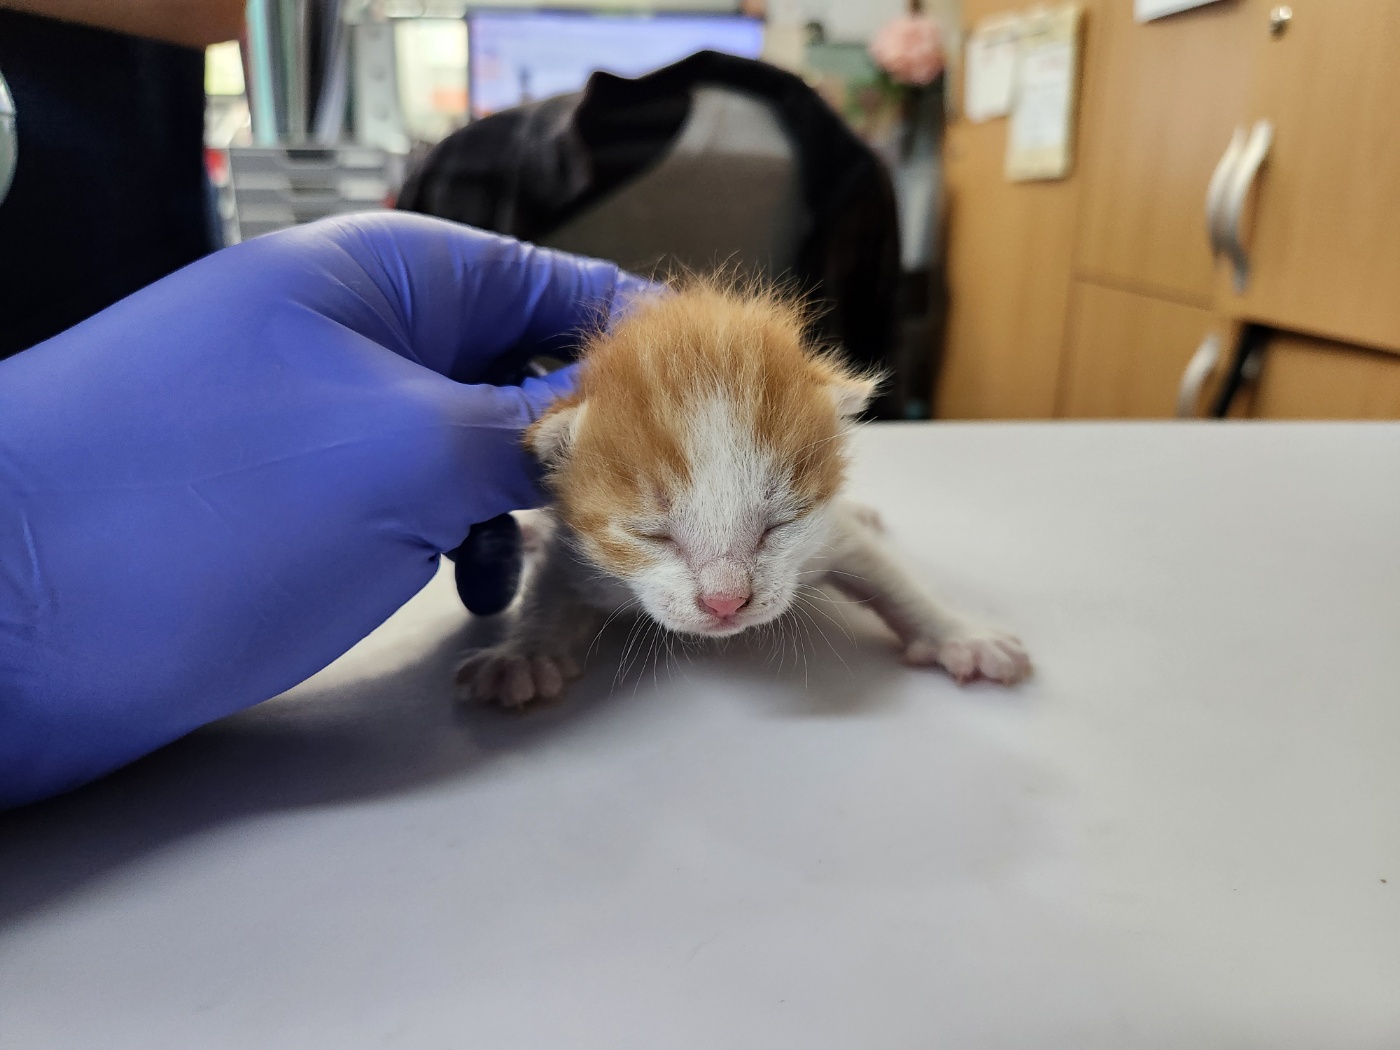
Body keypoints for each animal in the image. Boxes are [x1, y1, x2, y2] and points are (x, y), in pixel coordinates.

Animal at [456, 281, 1030, 708]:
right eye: (653, 534)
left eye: (781, 522)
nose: (725, 602)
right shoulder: (582, 555)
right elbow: (549, 586)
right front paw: (524, 654)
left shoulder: (823, 537)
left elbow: (891, 577)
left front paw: (961, 635)